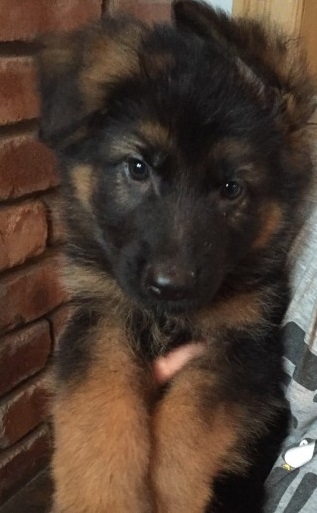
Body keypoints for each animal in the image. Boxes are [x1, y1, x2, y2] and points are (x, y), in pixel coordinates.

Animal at [36, 1, 314, 512]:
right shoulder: (99, 317)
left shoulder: (245, 351)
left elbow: (189, 420)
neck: (164, 318)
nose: (172, 286)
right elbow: (97, 401)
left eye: (231, 188)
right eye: (138, 168)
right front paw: (100, 497)